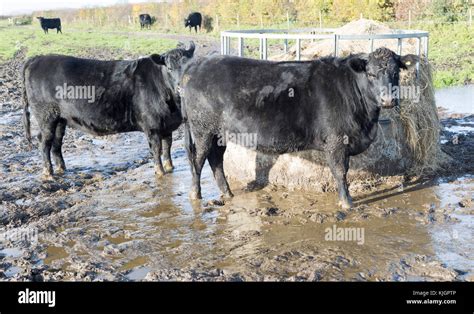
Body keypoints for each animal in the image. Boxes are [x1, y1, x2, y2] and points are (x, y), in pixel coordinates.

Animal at [21, 42, 196, 180]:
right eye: (169, 68)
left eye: (189, 65)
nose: (181, 85)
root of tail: (36, 58)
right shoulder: (152, 126)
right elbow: (156, 149)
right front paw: (160, 172)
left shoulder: (166, 126)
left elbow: (167, 148)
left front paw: (170, 168)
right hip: (46, 116)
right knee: (44, 141)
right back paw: (48, 173)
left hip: (60, 119)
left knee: (57, 143)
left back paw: (62, 169)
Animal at [181, 47, 418, 209]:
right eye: (371, 74)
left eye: (396, 72)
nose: (388, 100)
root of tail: (198, 65)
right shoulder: (336, 142)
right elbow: (340, 172)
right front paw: (346, 202)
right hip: (202, 130)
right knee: (198, 159)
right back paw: (195, 194)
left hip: (219, 133)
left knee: (216, 159)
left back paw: (227, 193)